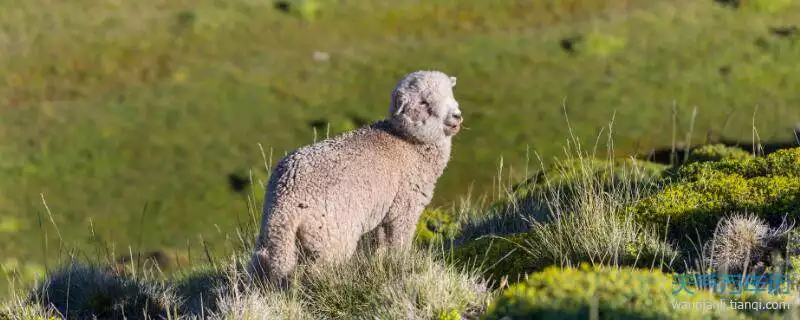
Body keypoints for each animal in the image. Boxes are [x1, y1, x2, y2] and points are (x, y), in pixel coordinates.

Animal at [248, 70, 462, 284]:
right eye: (423, 102)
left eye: (450, 93)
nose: (457, 116)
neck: (407, 143)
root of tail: (285, 207)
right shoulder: (404, 207)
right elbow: (399, 243)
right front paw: (400, 265)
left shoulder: (385, 211)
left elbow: (380, 243)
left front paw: (380, 263)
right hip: (332, 236)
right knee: (316, 272)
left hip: (274, 238)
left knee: (260, 263)